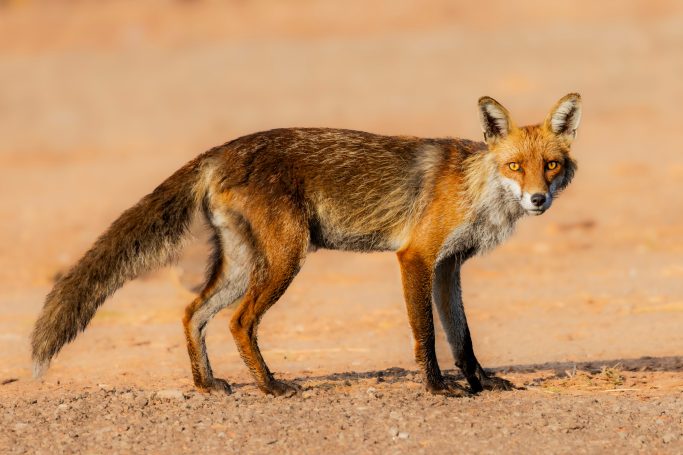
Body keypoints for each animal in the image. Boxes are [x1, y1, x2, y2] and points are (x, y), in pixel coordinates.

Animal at [29, 93, 580, 400]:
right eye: (515, 166)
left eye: (550, 165)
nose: (538, 199)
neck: (475, 189)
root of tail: (220, 151)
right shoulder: (417, 258)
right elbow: (425, 333)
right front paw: (437, 388)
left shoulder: (448, 267)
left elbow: (462, 337)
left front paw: (481, 382)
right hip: (284, 260)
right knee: (238, 322)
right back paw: (271, 386)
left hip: (243, 264)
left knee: (192, 313)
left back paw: (207, 384)